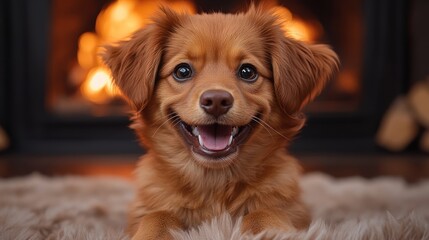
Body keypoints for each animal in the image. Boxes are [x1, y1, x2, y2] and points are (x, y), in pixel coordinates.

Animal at [101, 5, 338, 240]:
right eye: (182, 71)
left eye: (248, 71)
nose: (216, 101)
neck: (214, 183)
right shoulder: (146, 208)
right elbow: (158, 215)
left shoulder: (292, 208)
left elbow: (265, 211)